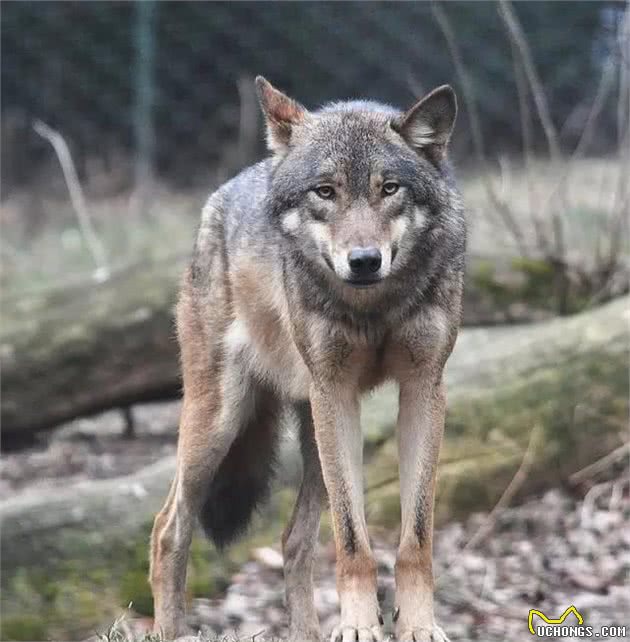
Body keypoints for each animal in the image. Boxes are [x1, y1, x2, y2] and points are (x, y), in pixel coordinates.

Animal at [148, 76, 464, 640]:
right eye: (325, 191)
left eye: (389, 188)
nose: (364, 261)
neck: (373, 308)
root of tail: (223, 194)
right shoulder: (335, 391)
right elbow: (354, 541)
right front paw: (360, 626)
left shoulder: (423, 389)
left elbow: (415, 537)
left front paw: (418, 626)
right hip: (223, 423)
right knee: (168, 528)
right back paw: (170, 628)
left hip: (315, 428)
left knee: (293, 540)